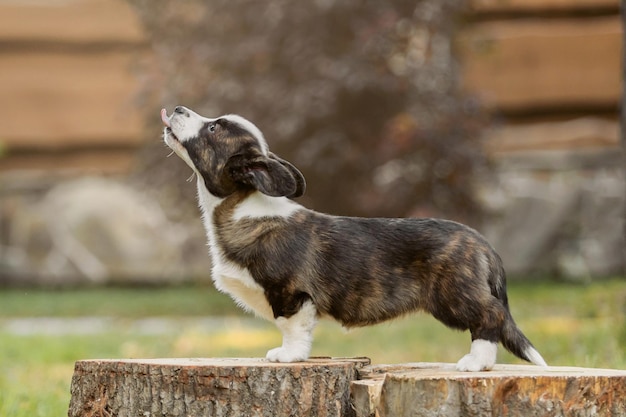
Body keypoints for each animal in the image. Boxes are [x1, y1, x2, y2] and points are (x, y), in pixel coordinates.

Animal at [162, 105, 544, 370]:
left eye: (213, 127)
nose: (178, 108)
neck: (240, 207)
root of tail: (483, 243)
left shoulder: (290, 294)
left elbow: (292, 328)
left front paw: (288, 356)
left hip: (454, 295)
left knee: (491, 315)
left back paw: (476, 362)